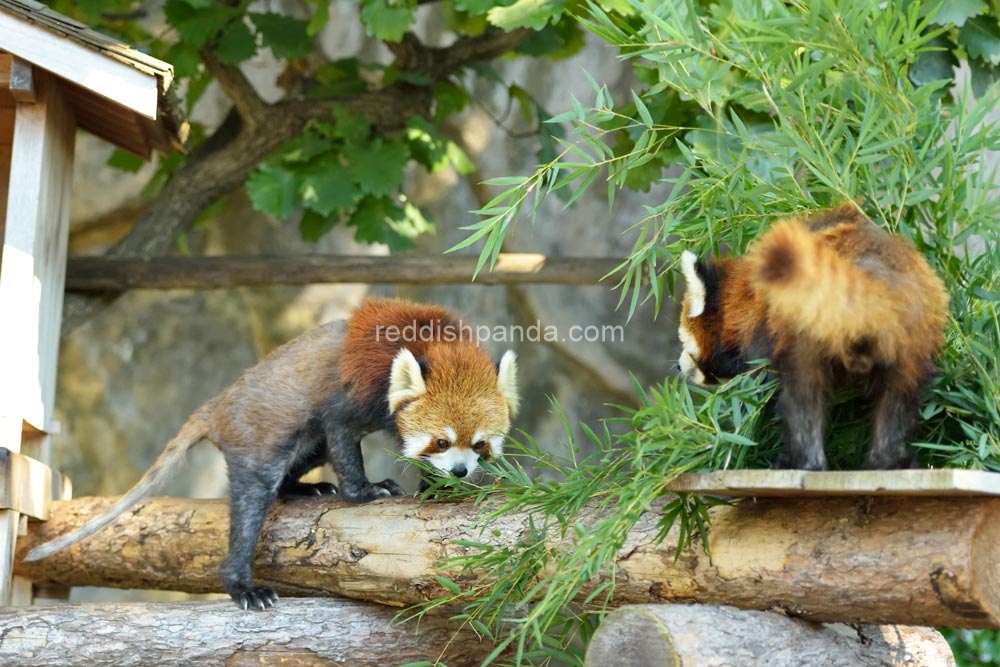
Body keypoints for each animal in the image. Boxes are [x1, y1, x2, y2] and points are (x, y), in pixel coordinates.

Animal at [27, 298, 520, 612]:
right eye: (441, 441)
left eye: (479, 445)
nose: (461, 469)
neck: (432, 343)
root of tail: (219, 404)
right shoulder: (357, 392)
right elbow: (342, 434)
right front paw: (365, 490)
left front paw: (440, 491)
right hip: (257, 438)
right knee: (254, 498)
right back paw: (242, 584)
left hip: (299, 440)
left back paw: (305, 488)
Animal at [676, 206, 948, 472]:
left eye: (684, 343)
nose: (679, 366)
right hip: (911, 339)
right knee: (898, 400)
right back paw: (887, 463)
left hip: (806, 332)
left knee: (802, 398)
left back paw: (803, 464)